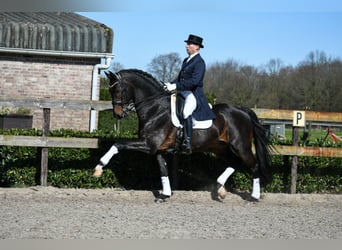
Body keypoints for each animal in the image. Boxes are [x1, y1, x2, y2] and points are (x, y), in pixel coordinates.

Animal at [93, 69, 272, 202]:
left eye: (117, 90)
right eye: (110, 90)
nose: (117, 114)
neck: (155, 108)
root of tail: (242, 110)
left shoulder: (149, 144)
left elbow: (118, 144)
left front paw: (99, 167)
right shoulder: (158, 149)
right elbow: (163, 170)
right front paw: (165, 194)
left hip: (240, 146)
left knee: (253, 165)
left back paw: (254, 196)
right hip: (218, 147)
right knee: (234, 162)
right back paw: (220, 189)